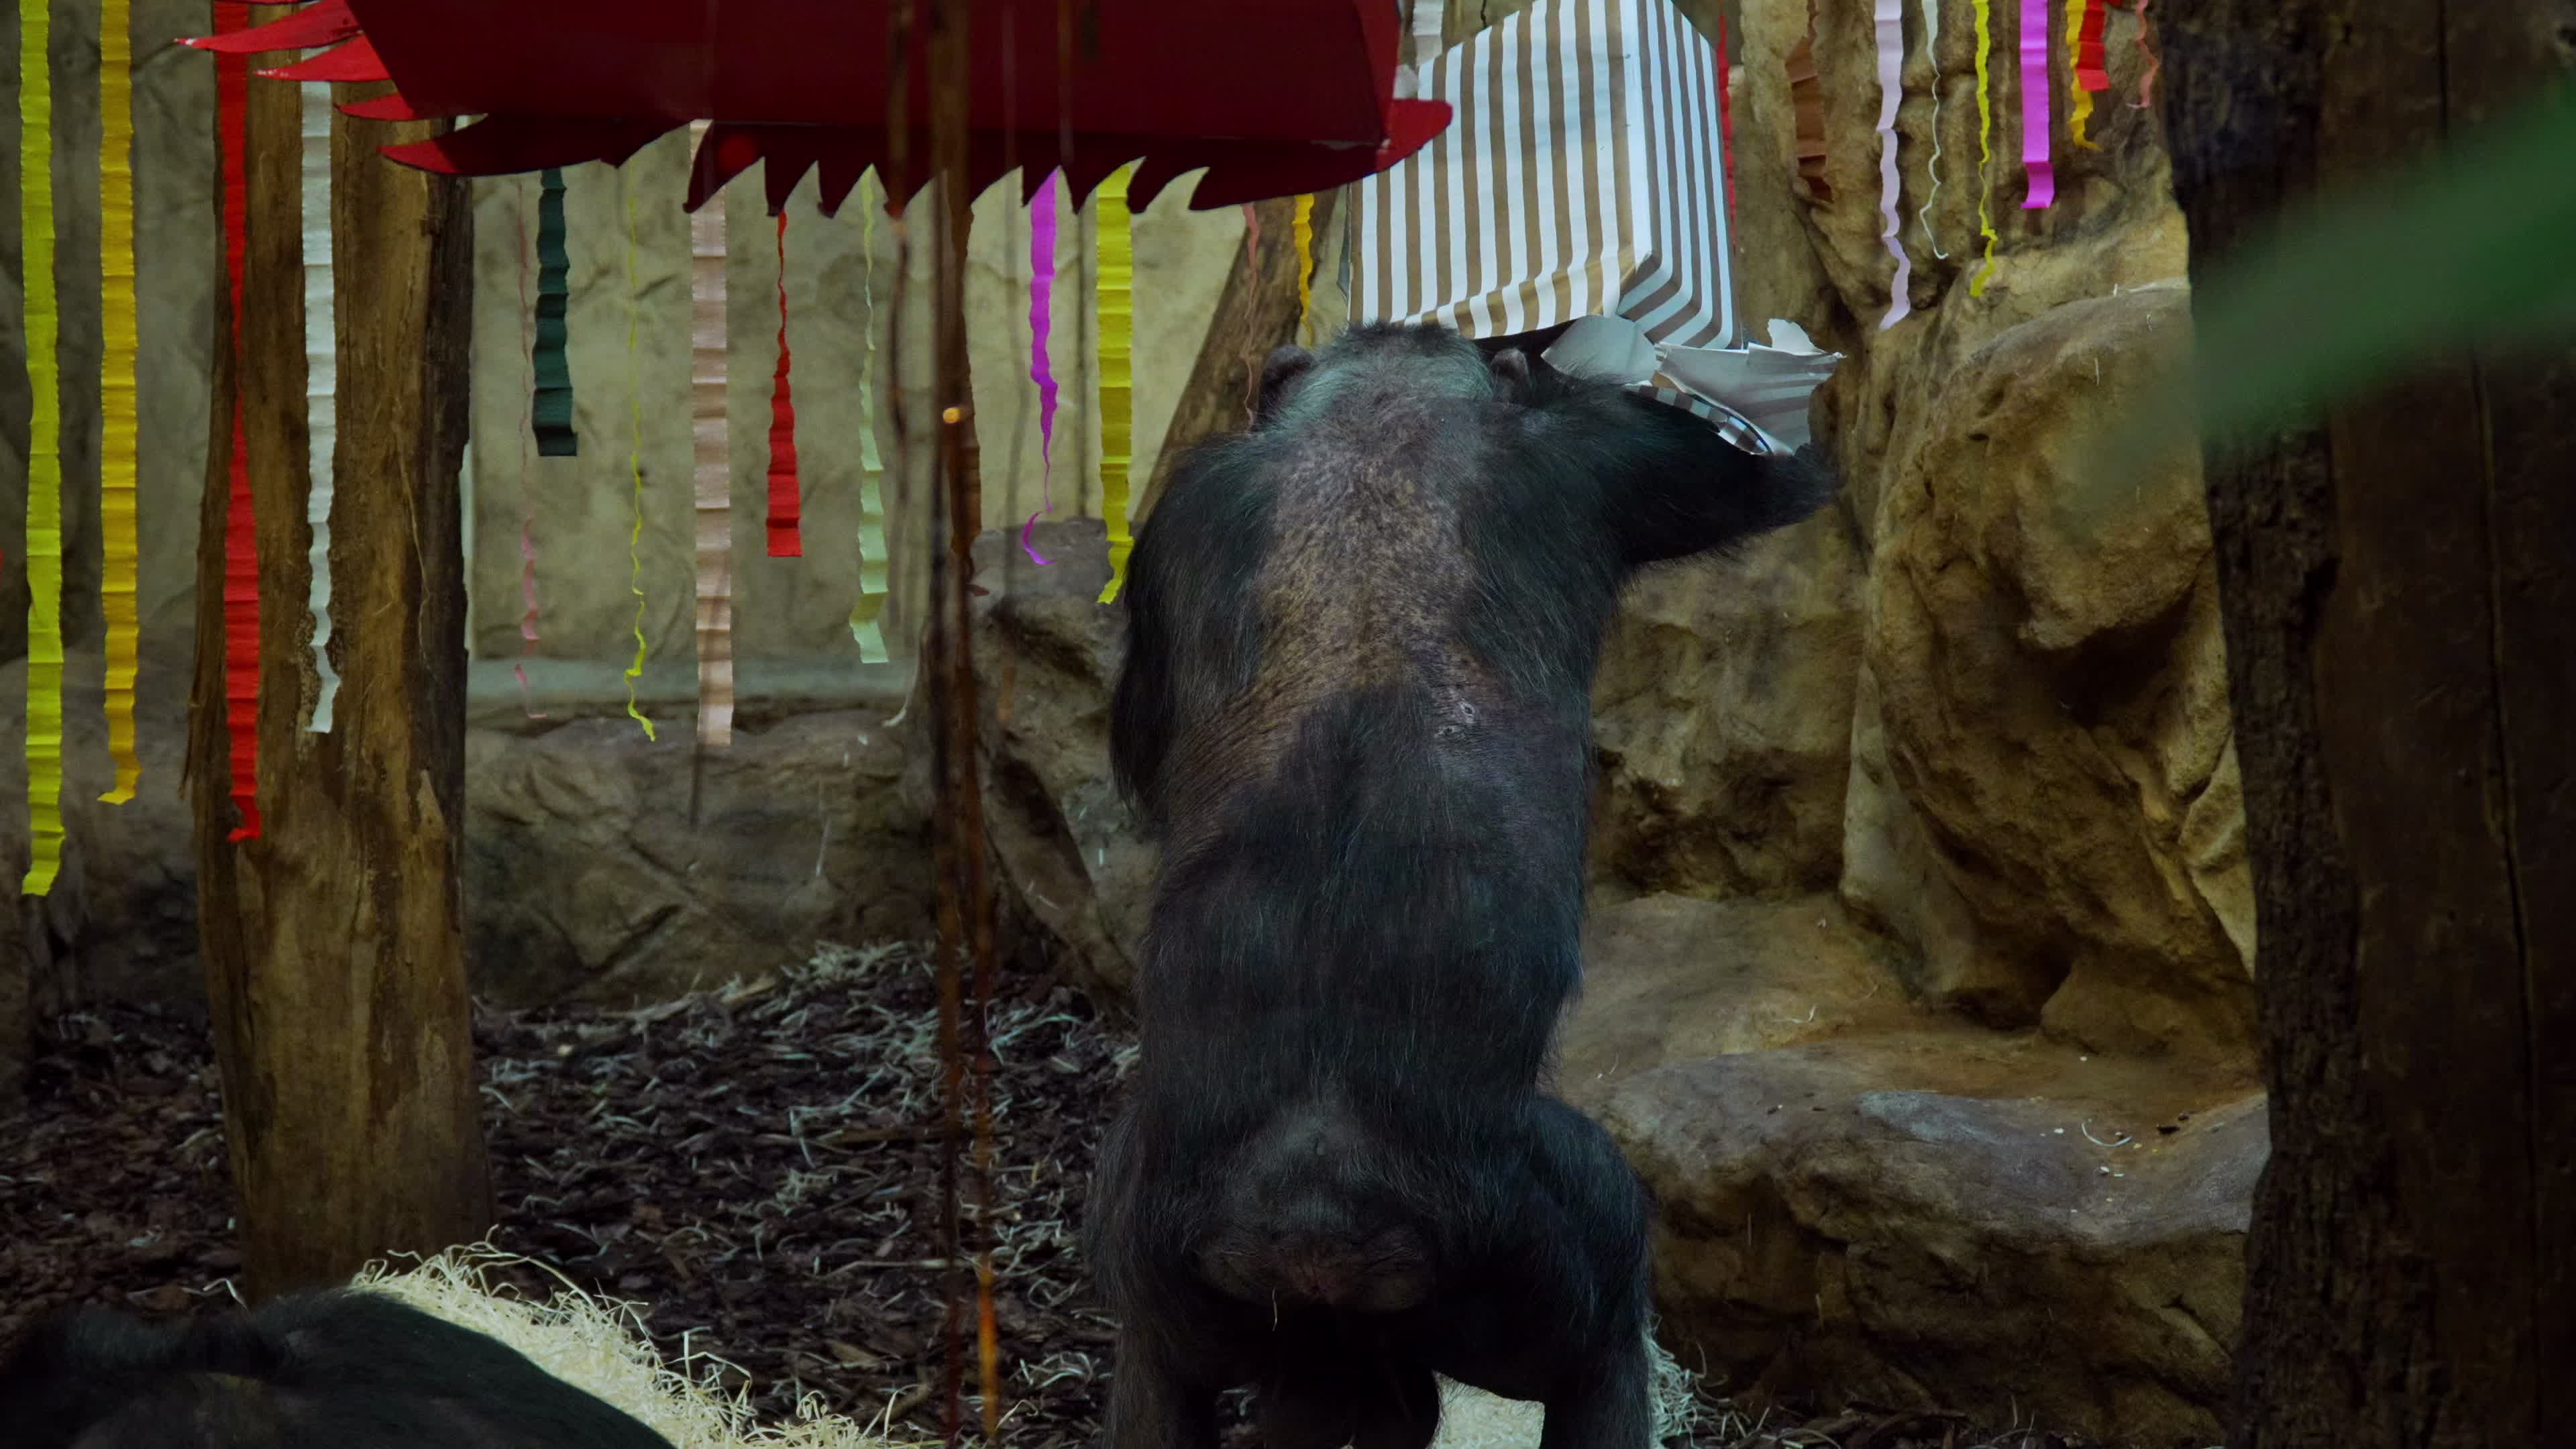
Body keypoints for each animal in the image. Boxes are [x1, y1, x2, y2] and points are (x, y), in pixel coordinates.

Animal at [1085, 321, 1836, 1449]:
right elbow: (1765, 482)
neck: (1382, 411)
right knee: (1601, 1333)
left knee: (1176, 1387)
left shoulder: (1182, 504)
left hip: (1165, 1261)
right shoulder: (1593, 459)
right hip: (1526, 1242)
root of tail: (1316, 1217)